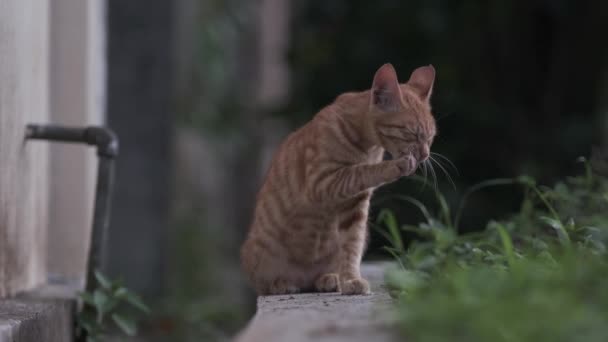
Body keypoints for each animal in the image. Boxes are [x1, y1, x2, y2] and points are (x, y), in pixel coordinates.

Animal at [241, 65, 436, 296]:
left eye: (431, 136)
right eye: (412, 134)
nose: (425, 155)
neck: (367, 147)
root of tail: (302, 278)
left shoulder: (354, 205)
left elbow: (351, 246)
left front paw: (351, 279)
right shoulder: (321, 182)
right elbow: (361, 171)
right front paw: (395, 166)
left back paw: (329, 278)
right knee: (262, 285)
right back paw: (280, 284)